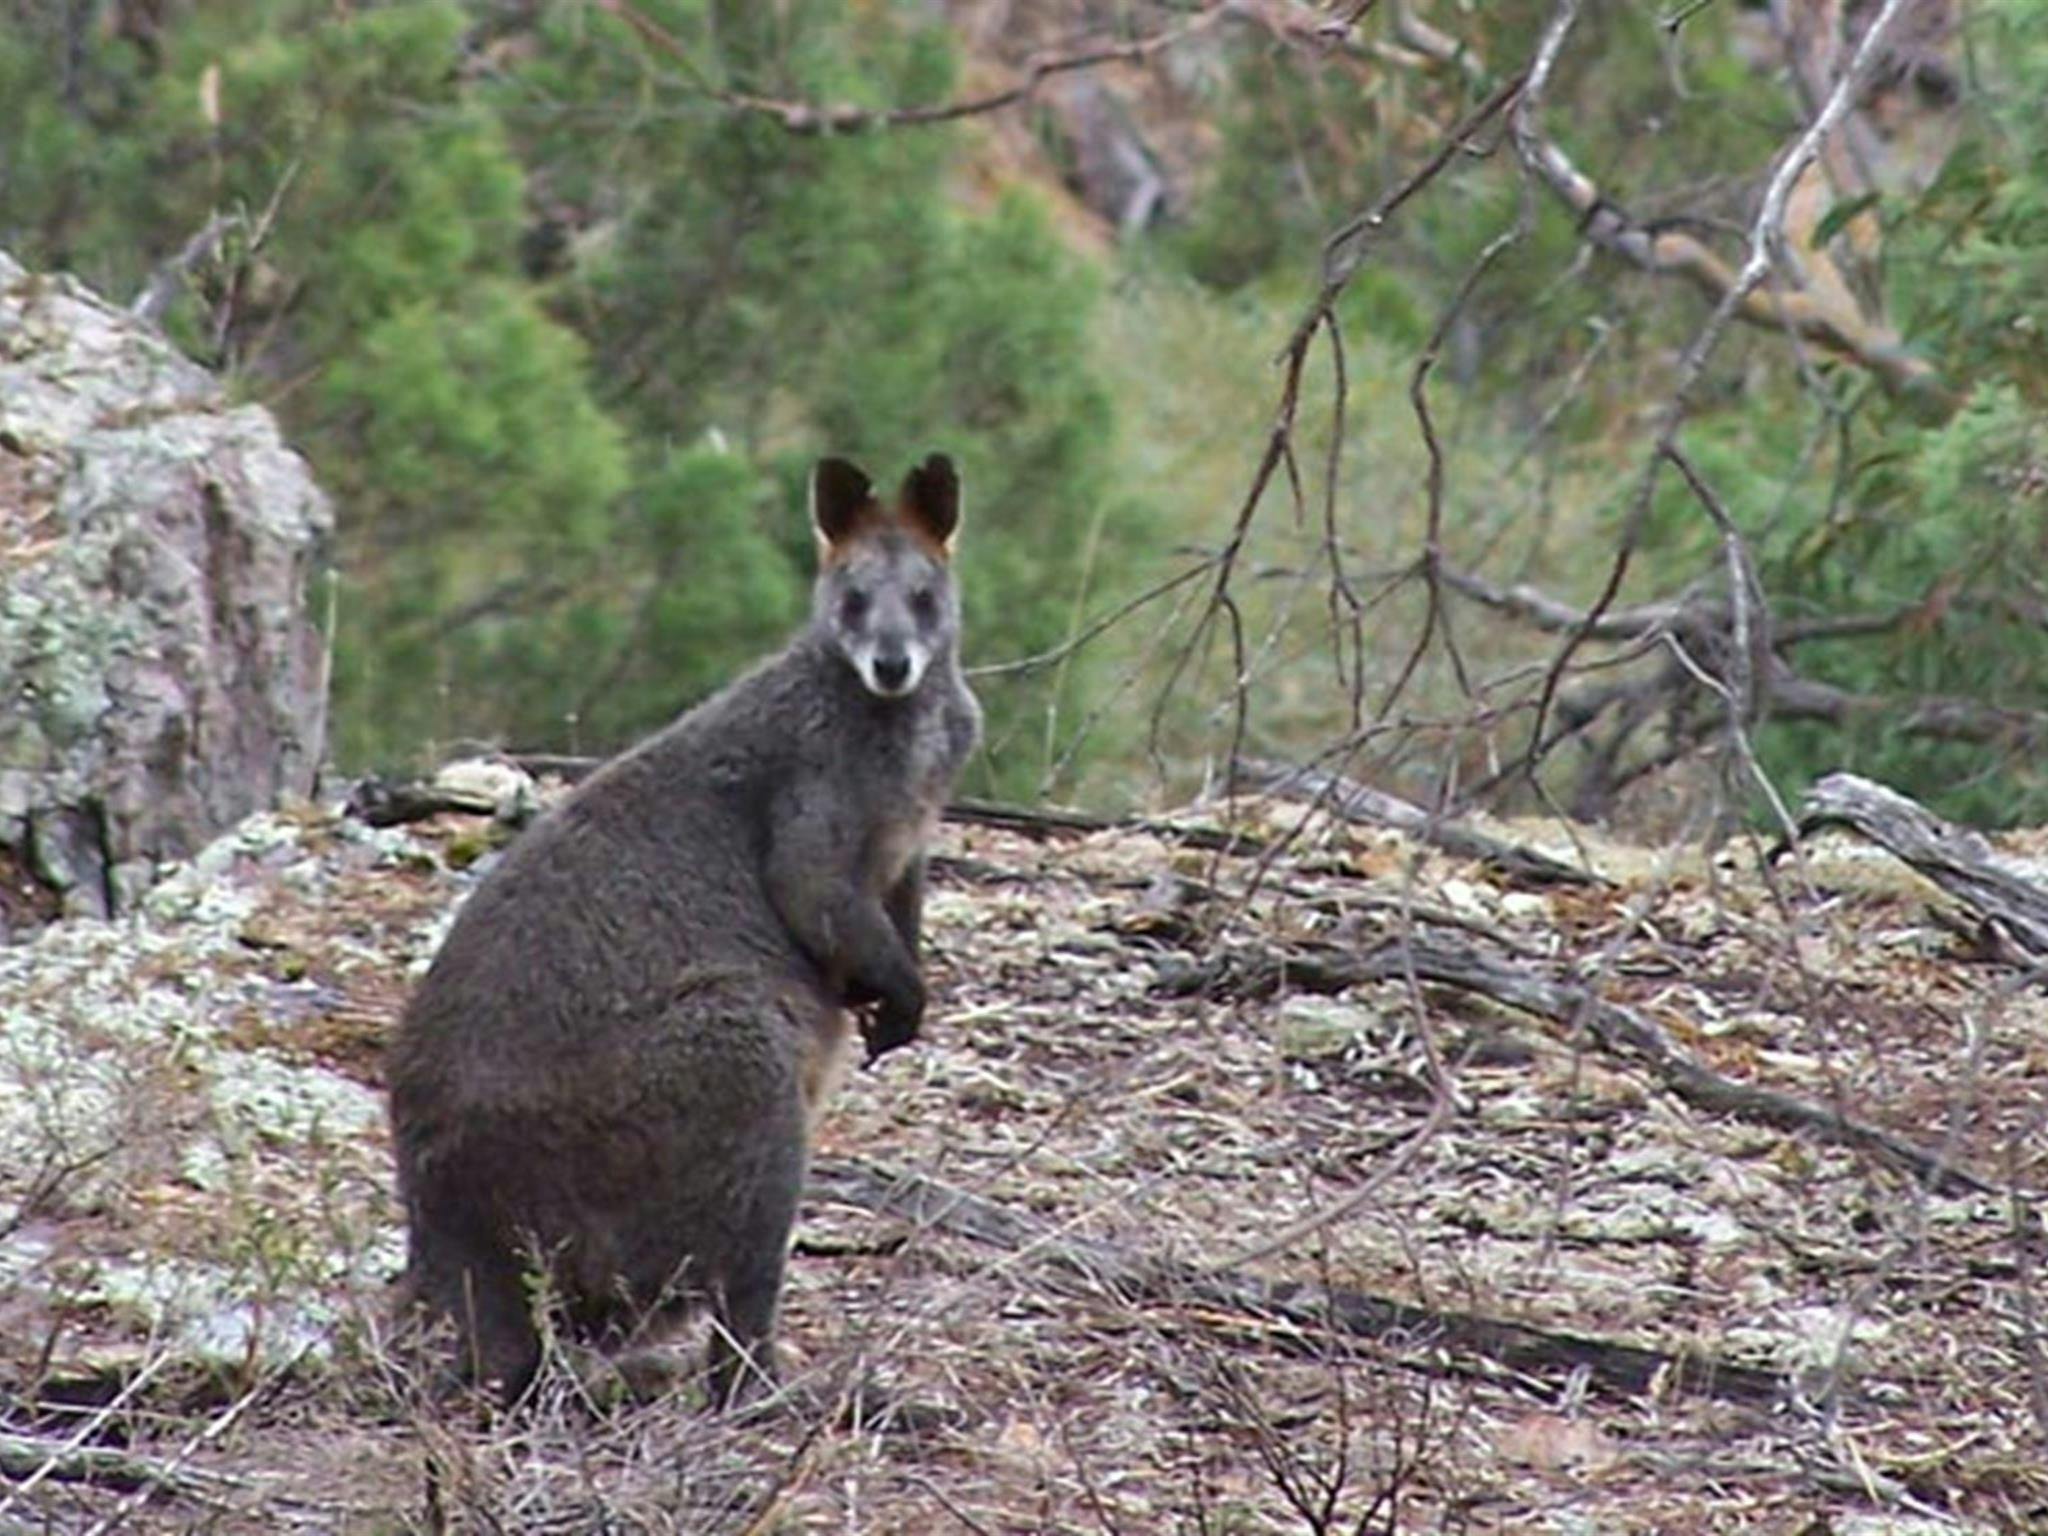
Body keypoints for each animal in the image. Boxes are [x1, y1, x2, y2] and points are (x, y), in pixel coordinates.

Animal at [386, 453, 981, 1407]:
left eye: (924, 597)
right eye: (853, 599)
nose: (891, 664)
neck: (894, 713)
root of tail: (451, 1232)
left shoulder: (910, 846)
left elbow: (895, 912)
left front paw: (897, 1010)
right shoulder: (815, 799)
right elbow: (813, 890)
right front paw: (898, 1001)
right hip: (725, 1063)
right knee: (735, 1303)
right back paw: (783, 1394)